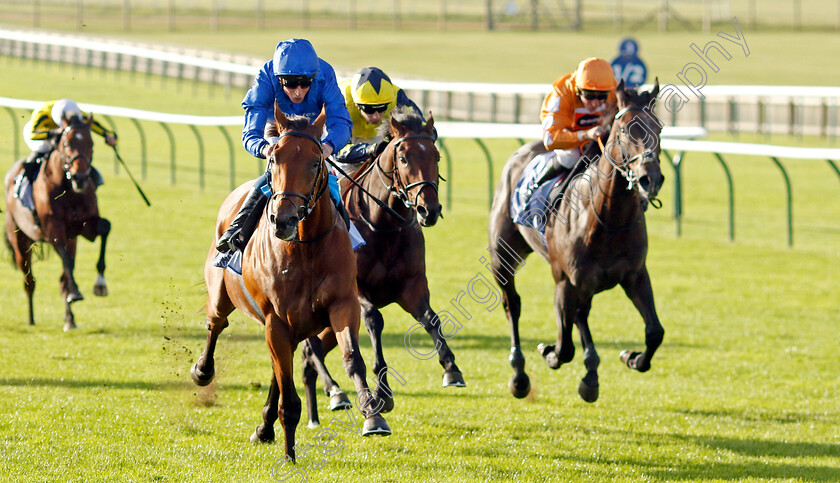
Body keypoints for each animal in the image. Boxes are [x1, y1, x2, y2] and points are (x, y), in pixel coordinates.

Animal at [2, 114, 111, 332]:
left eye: (91, 143)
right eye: (67, 143)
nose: (80, 176)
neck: (67, 188)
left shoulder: (83, 227)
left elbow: (105, 227)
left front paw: (100, 284)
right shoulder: (54, 229)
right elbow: (67, 261)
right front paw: (76, 292)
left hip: (72, 240)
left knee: (63, 278)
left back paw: (70, 320)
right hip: (20, 240)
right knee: (29, 281)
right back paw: (31, 319)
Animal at [190, 106, 390, 462]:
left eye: (314, 161)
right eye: (274, 158)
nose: (283, 220)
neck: (305, 248)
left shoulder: (342, 305)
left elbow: (352, 357)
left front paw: (372, 414)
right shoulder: (276, 320)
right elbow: (288, 394)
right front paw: (289, 455)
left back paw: (265, 425)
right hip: (223, 295)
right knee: (216, 324)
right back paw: (203, 371)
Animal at [296, 108, 466, 428]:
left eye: (436, 155)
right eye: (404, 158)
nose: (429, 210)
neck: (384, 226)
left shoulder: (413, 286)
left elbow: (431, 319)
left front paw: (452, 369)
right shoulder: (358, 291)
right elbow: (375, 320)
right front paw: (382, 392)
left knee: (311, 353)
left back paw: (314, 413)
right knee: (311, 348)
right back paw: (335, 392)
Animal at [488, 81, 668, 402]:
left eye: (659, 128)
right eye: (625, 129)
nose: (651, 178)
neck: (608, 220)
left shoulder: (635, 275)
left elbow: (654, 332)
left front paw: (631, 357)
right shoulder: (566, 279)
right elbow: (567, 344)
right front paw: (550, 353)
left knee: (578, 315)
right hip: (503, 256)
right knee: (513, 305)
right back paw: (519, 375)